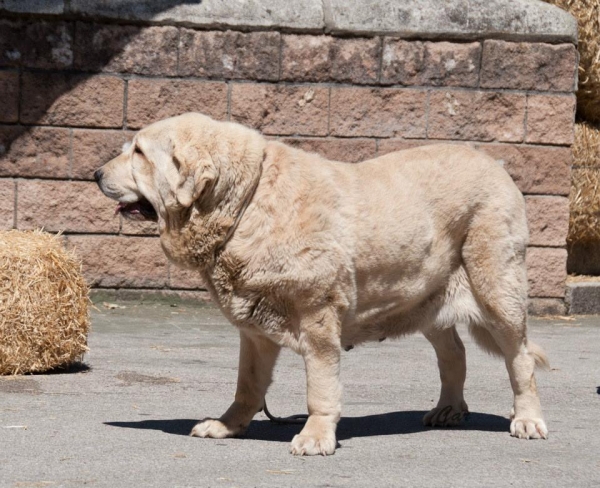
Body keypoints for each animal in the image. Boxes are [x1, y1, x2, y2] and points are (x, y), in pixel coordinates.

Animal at [94, 112, 548, 456]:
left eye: (138, 152)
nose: (96, 173)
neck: (246, 203)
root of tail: (497, 165)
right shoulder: (254, 331)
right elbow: (247, 385)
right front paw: (226, 426)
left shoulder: (318, 316)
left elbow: (320, 386)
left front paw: (315, 436)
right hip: (425, 298)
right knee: (453, 353)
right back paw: (449, 409)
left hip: (497, 290)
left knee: (520, 358)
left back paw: (527, 418)